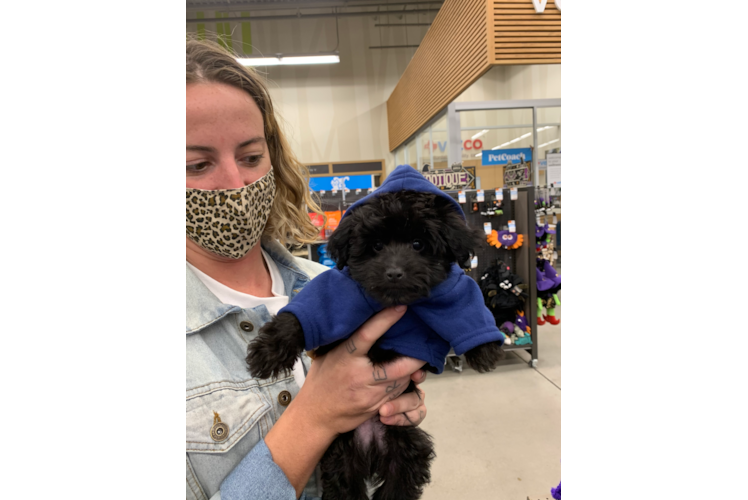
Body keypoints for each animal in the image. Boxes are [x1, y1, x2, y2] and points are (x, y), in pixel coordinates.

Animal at [250, 190, 502, 500]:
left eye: (418, 244)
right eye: (377, 246)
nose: (394, 272)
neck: (395, 301)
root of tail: (370, 444)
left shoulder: (450, 291)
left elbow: (467, 309)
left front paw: (486, 351)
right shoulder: (342, 290)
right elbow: (310, 312)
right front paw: (267, 354)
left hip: (406, 447)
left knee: (398, 484)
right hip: (341, 456)